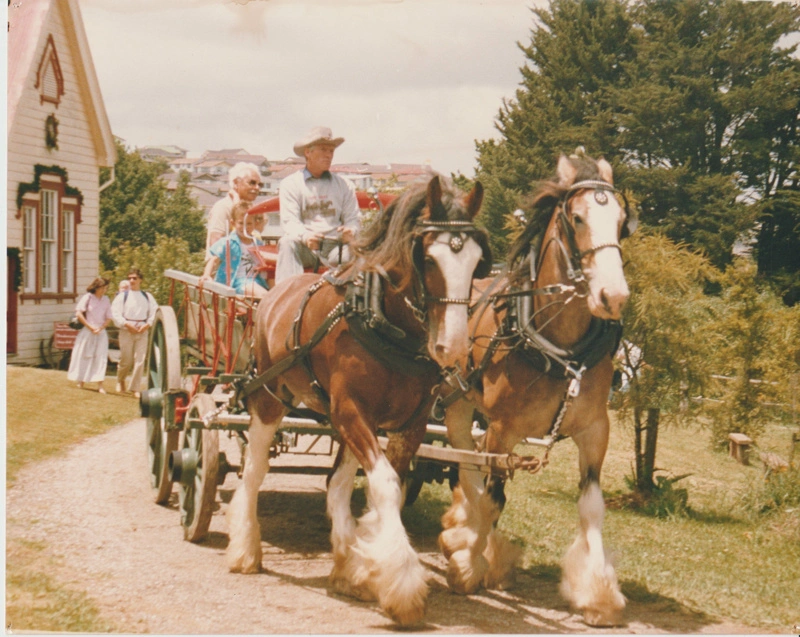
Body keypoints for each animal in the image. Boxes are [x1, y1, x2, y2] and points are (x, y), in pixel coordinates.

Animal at [222, 175, 490, 628]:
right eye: (429, 259)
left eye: (476, 262)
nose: (451, 347)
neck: (384, 321)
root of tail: (276, 292)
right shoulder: (351, 411)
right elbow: (385, 485)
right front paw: (403, 587)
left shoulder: (408, 423)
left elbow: (384, 487)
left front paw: (367, 563)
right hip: (269, 398)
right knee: (254, 472)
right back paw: (245, 550)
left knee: (336, 484)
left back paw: (347, 568)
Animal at [438, 153, 636, 628]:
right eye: (578, 218)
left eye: (622, 223)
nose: (614, 296)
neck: (558, 345)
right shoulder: (502, 431)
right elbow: (493, 500)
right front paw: (472, 565)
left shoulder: (595, 431)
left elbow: (592, 507)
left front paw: (598, 594)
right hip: (458, 404)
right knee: (466, 465)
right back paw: (464, 534)